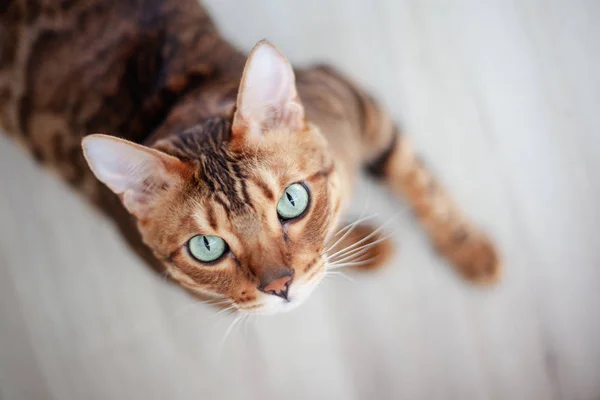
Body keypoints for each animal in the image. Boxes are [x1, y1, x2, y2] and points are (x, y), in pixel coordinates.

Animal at [0, 0, 502, 316]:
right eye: (206, 247)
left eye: (292, 201)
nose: (279, 287)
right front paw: (366, 245)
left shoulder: (356, 102)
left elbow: (418, 180)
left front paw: (470, 249)